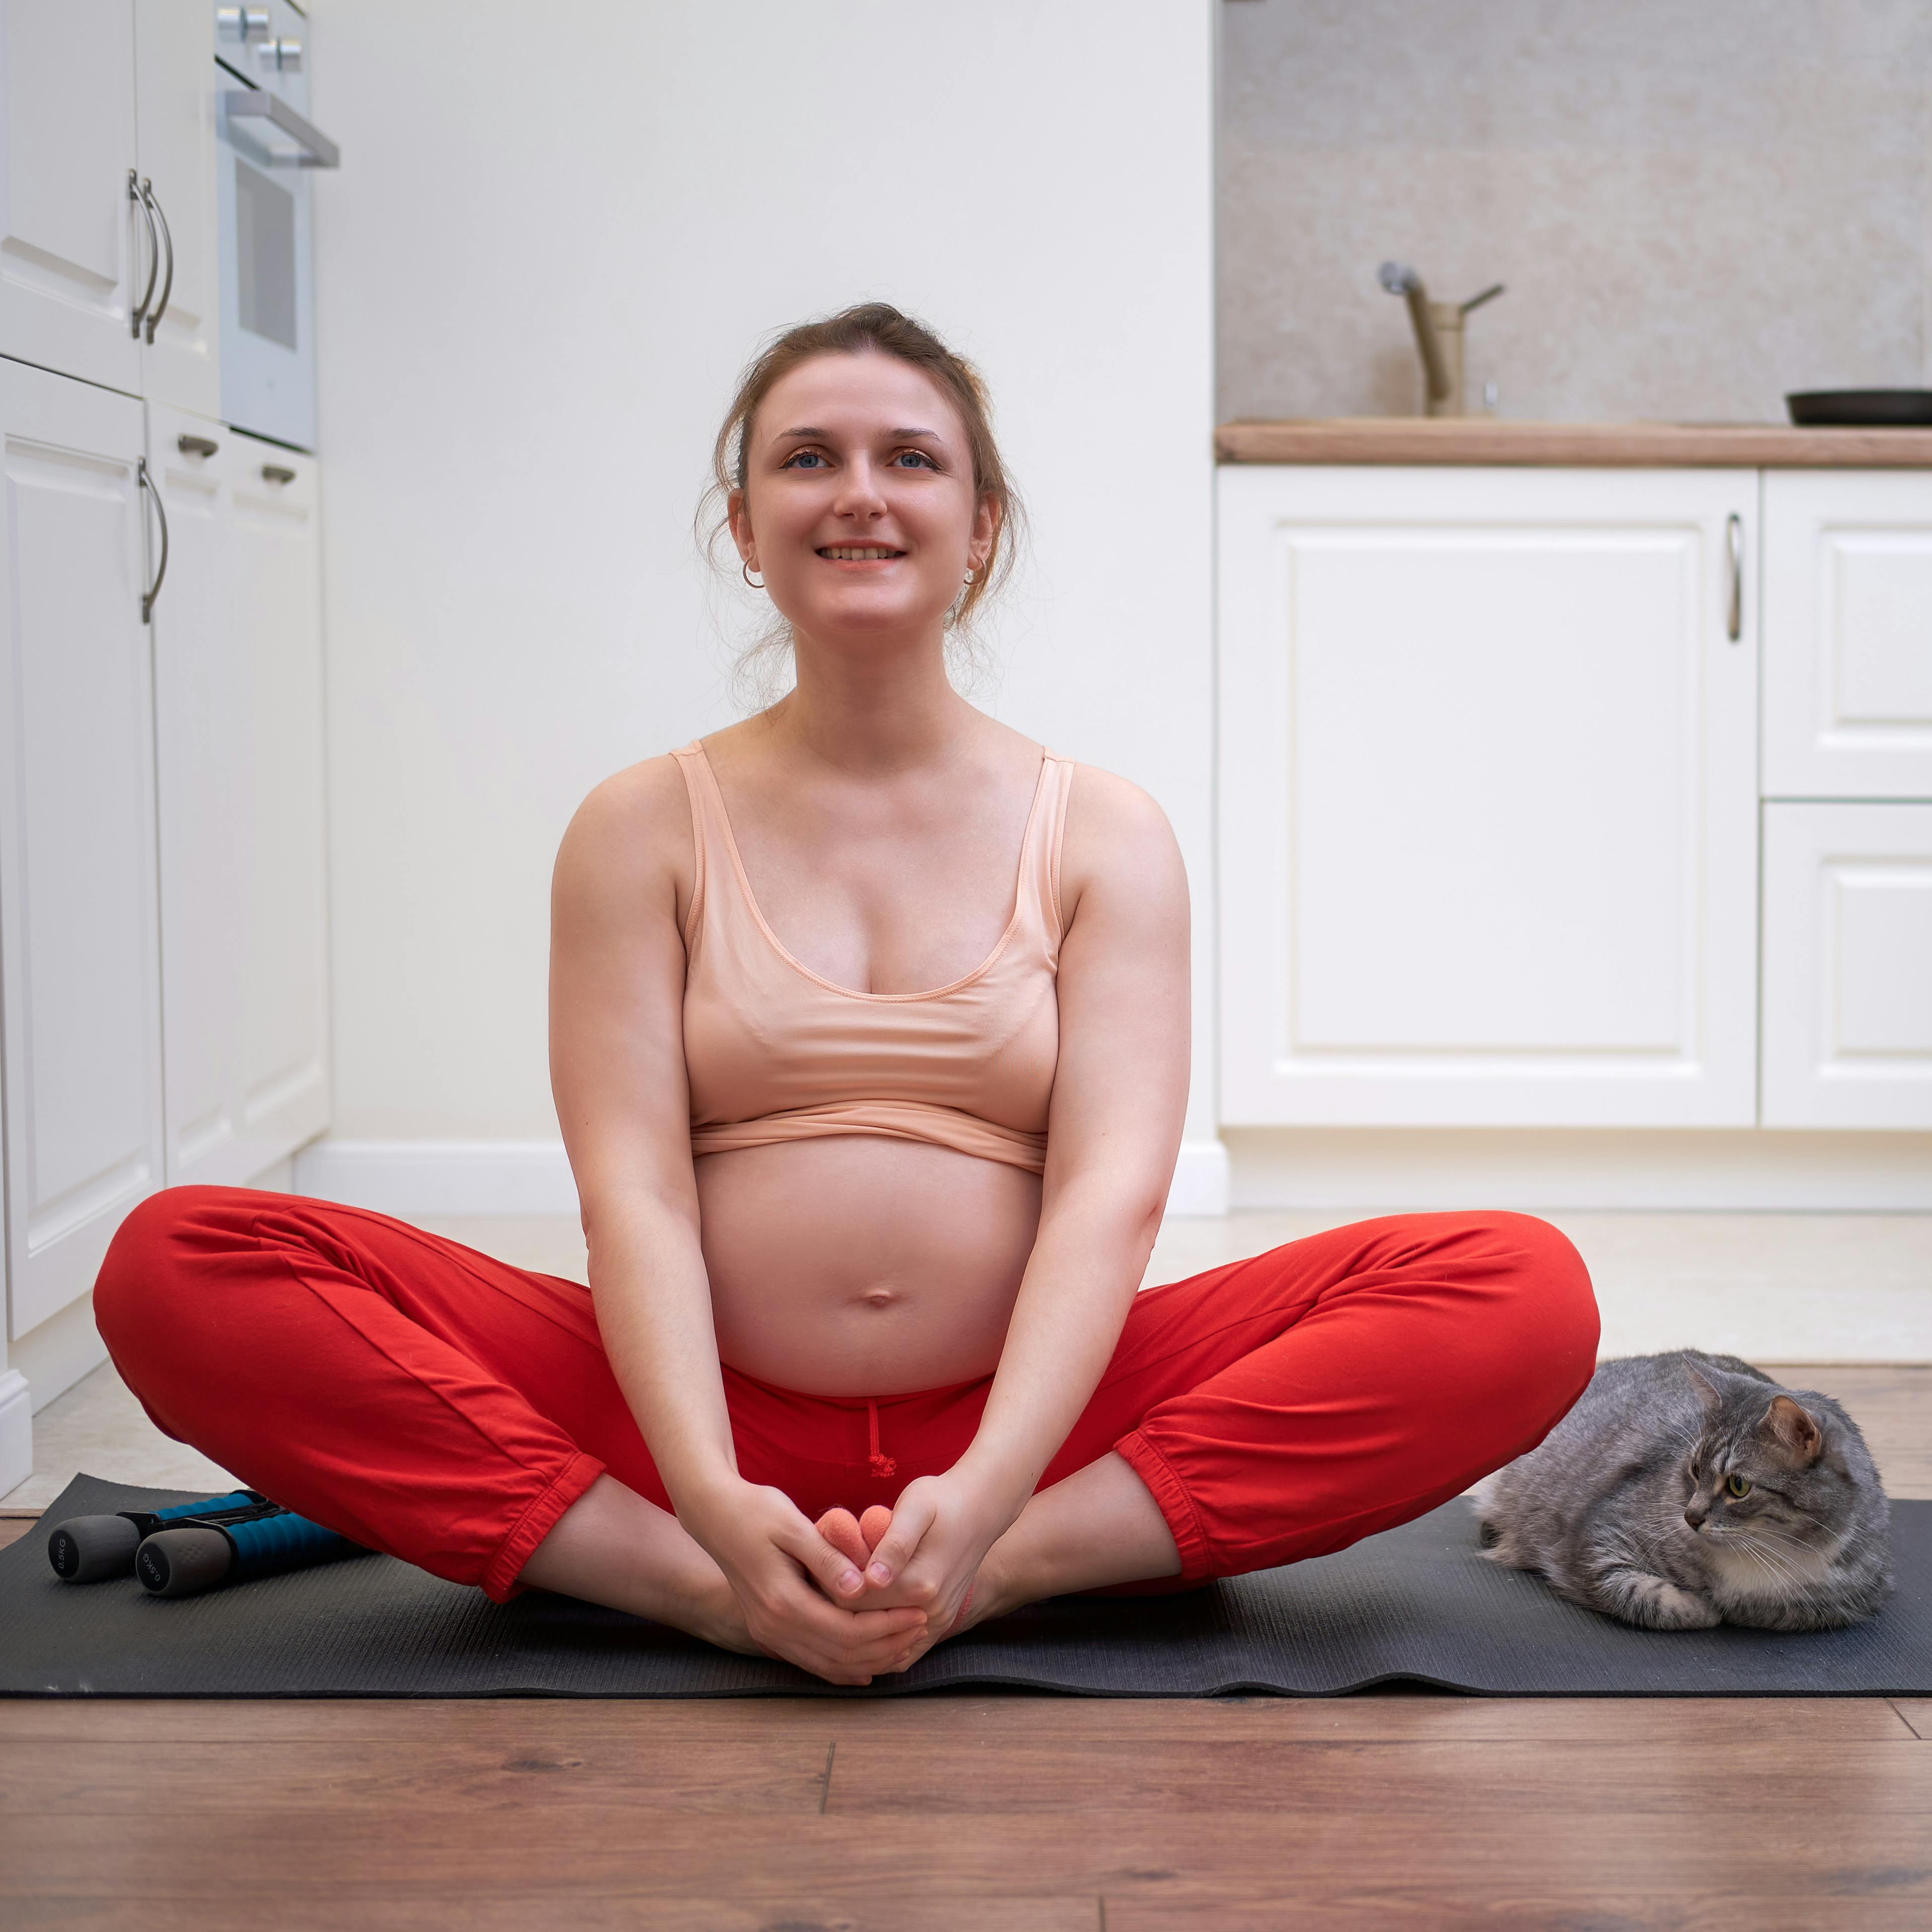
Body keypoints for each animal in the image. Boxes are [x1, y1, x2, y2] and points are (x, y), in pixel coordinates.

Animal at [1476, 1352, 1885, 1638]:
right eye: (1695, 1470)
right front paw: (1701, 1608)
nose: (1691, 1517)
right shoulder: (1596, 1540)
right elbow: (1646, 1596)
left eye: (1738, 1486)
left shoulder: (1846, 1601)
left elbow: (1782, 1613)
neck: (1765, 1551)